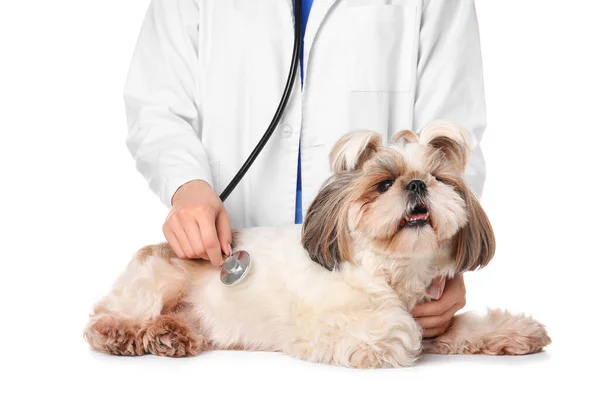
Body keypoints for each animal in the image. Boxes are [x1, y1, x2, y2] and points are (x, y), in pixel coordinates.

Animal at [85, 120, 552, 370]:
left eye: (439, 180)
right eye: (384, 184)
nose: (417, 184)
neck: (387, 272)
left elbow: (464, 326)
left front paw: (514, 331)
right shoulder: (326, 328)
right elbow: (399, 330)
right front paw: (408, 334)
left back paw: (169, 334)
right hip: (159, 281)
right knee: (104, 320)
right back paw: (126, 334)